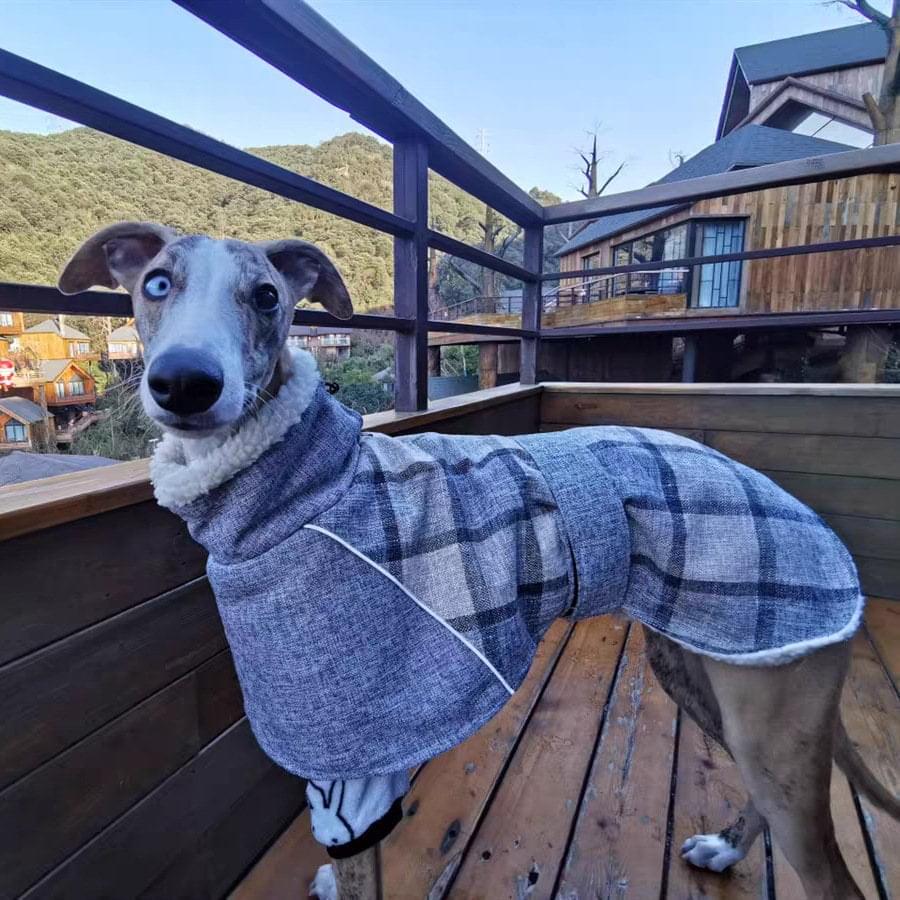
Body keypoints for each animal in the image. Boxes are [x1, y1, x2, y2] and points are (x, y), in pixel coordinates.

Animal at [59, 220, 896, 900]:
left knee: (832, 878)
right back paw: (724, 848)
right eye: (156, 283)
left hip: (771, 712)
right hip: (704, 667)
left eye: (266, 295)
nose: (185, 384)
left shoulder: (349, 763)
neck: (304, 490)